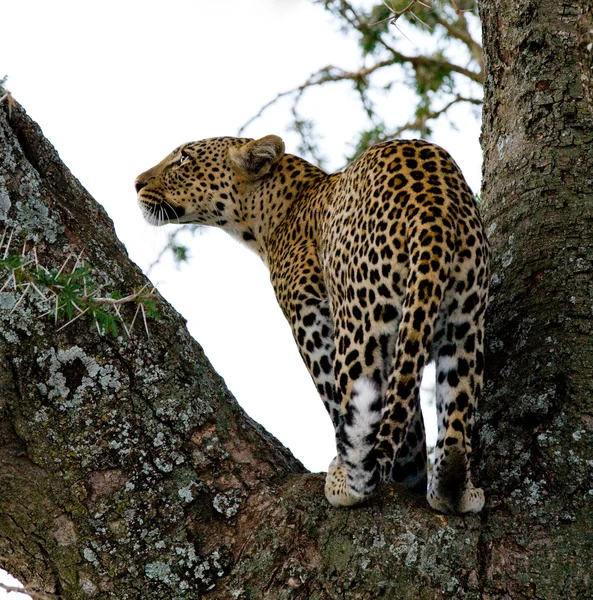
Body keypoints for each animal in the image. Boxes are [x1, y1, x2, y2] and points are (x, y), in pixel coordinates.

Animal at [136, 136, 488, 516]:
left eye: (183, 159)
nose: (137, 183)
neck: (274, 213)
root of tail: (433, 211)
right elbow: (410, 426)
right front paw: (409, 477)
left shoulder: (309, 319)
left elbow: (338, 401)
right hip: (464, 323)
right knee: (454, 411)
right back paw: (452, 489)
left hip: (358, 321)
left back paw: (348, 484)